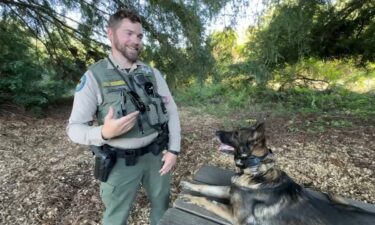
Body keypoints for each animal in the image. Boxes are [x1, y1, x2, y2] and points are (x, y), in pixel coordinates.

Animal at [181, 123, 374, 225]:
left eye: (235, 134)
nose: (215, 132)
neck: (256, 170)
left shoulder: (235, 216)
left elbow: (208, 200)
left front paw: (191, 197)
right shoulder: (230, 191)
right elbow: (206, 188)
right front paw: (188, 185)